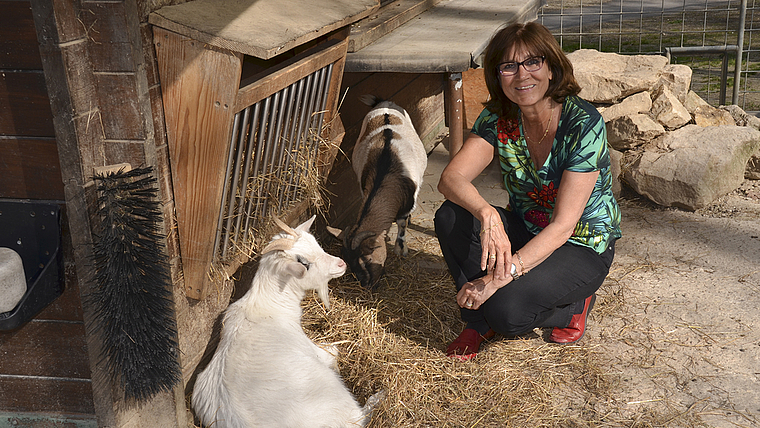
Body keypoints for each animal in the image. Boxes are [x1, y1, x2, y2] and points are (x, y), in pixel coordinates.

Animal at [190, 217, 380, 428]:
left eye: (316, 243)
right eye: (304, 263)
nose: (341, 264)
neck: (266, 305)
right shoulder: (313, 349)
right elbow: (333, 352)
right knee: (359, 416)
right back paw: (379, 397)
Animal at [328, 95, 428, 290]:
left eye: (367, 258)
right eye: (348, 261)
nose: (366, 284)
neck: (385, 170)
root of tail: (385, 104)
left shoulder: (407, 202)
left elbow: (402, 224)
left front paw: (400, 249)